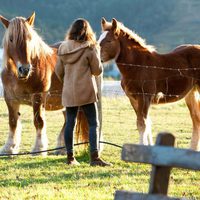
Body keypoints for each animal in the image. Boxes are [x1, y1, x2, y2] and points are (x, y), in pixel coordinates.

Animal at [0, 13, 89, 155]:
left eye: (30, 39)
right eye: (11, 39)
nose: (25, 69)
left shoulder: (38, 96)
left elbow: (38, 121)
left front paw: (39, 148)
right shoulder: (10, 99)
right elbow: (13, 122)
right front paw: (9, 147)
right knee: (67, 120)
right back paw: (62, 147)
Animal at [100, 18, 200, 151]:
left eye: (109, 40)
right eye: (99, 39)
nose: (98, 58)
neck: (138, 66)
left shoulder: (145, 97)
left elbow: (142, 124)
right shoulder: (133, 99)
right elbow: (145, 123)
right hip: (191, 93)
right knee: (196, 119)